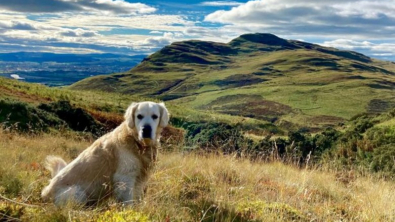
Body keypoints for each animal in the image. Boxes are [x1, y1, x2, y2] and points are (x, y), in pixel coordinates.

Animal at [41, 101, 169, 206]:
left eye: (155, 116)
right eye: (139, 116)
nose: (146, 129)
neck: (137, 143)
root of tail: (45, 192)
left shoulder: (139, 179)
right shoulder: (124, 178)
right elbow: (128, 202)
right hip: (78, 193)